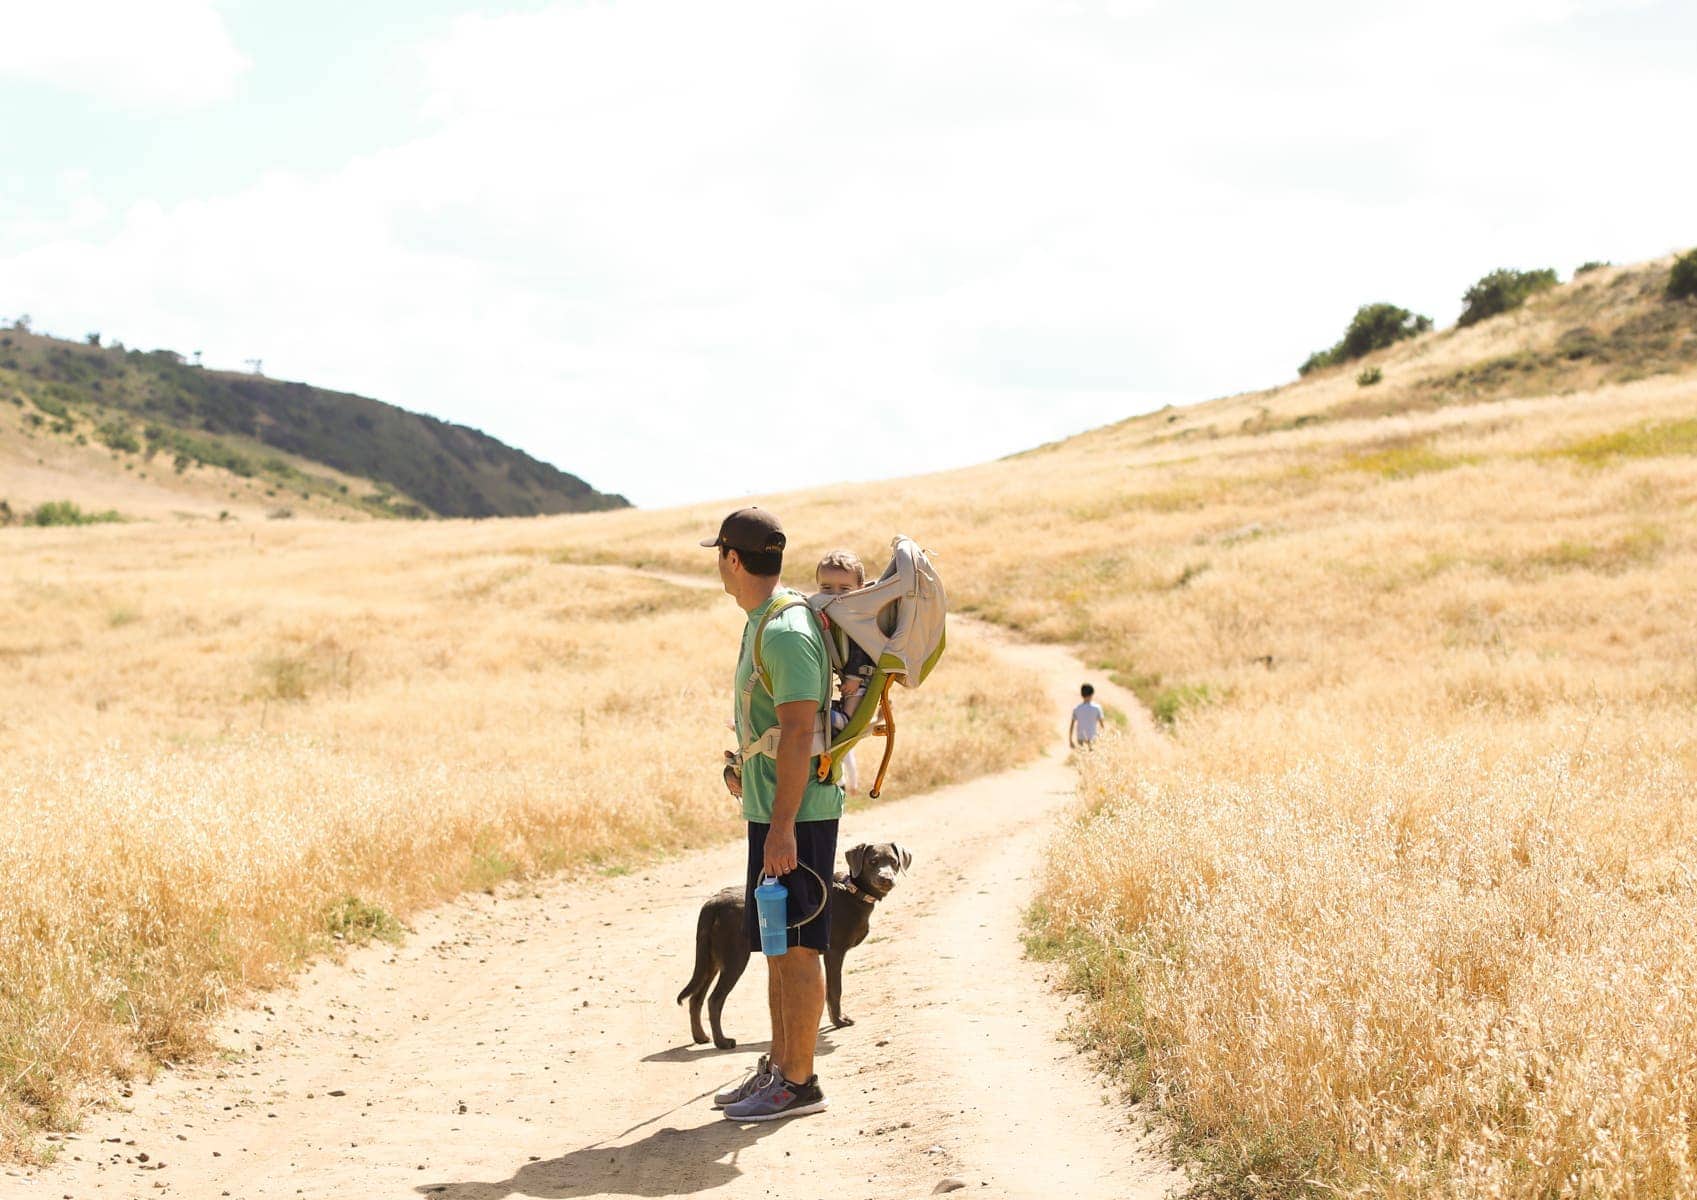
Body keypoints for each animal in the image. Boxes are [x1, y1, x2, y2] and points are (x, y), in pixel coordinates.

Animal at [675, 845, 916, 1052]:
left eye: (893, 862)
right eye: (872, 861)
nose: (886, 878)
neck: (853, 891)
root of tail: (713, 903)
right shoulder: (834, 953)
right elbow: (835, 989)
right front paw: (839, 1021)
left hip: (711, 960)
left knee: (696, 998)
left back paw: (701, 1037)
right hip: (734, 959)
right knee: (714, 1000)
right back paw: (722, 1042)